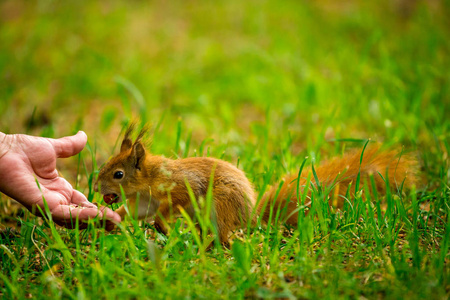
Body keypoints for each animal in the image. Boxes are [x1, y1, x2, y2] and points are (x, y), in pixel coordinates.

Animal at [95, 125, 418, 245]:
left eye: (118, 174)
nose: (97, 188)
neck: (149, 179)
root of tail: (251, 219)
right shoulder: (143, 202)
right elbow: (134, 212)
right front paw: (110, 221)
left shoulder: (180, 187)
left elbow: (175, 203)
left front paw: (161, 223)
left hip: (220, 207)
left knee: (224, 237)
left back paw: (208, 245)